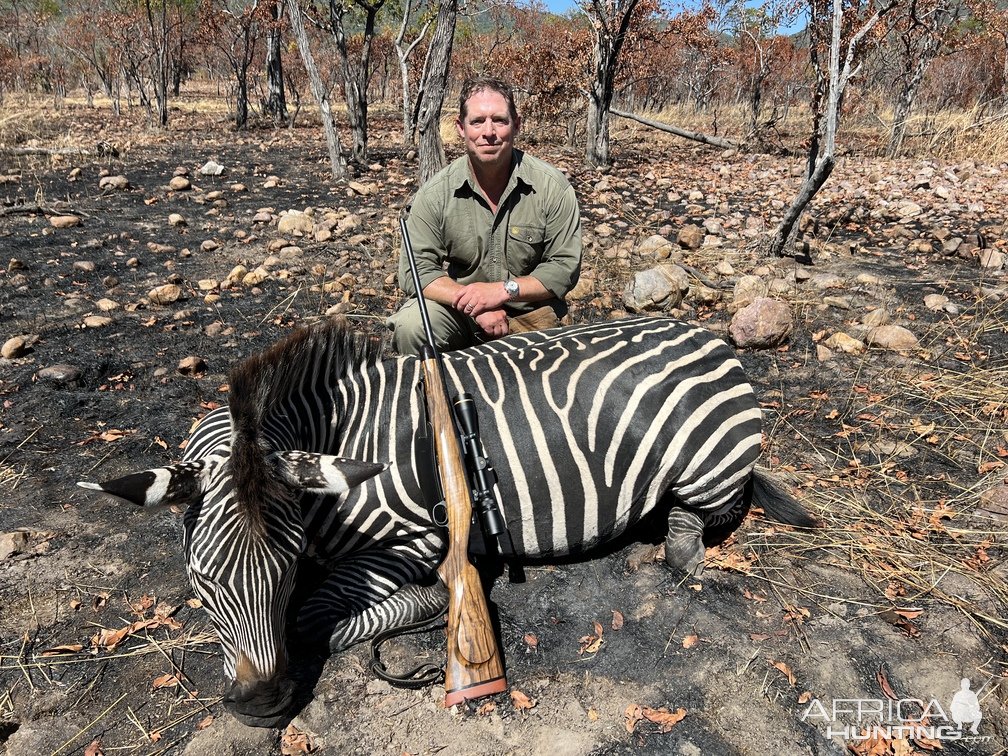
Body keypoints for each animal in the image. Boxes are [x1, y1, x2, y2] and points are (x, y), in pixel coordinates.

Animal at [80, 314, 818, 729]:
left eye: (284, 573)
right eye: (201, 583)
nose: (261, 707)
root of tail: (711, 337)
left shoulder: (419, 537)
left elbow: (323, 613)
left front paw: (402, 614)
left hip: (709, 468)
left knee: (699, 526)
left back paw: (661, 549)